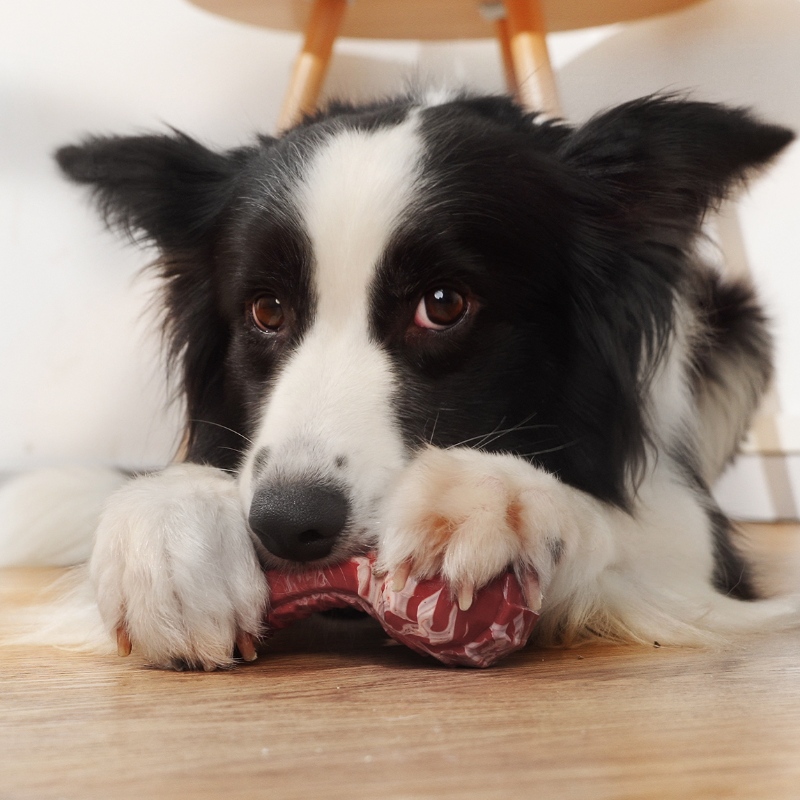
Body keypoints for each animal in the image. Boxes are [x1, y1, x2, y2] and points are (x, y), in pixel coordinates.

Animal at [1, 92, 800, 668]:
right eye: (266, 310)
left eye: (443, 304)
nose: (290, 524)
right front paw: (167, 529)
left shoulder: (690, 530)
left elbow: (618, 521)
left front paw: (493, 499)